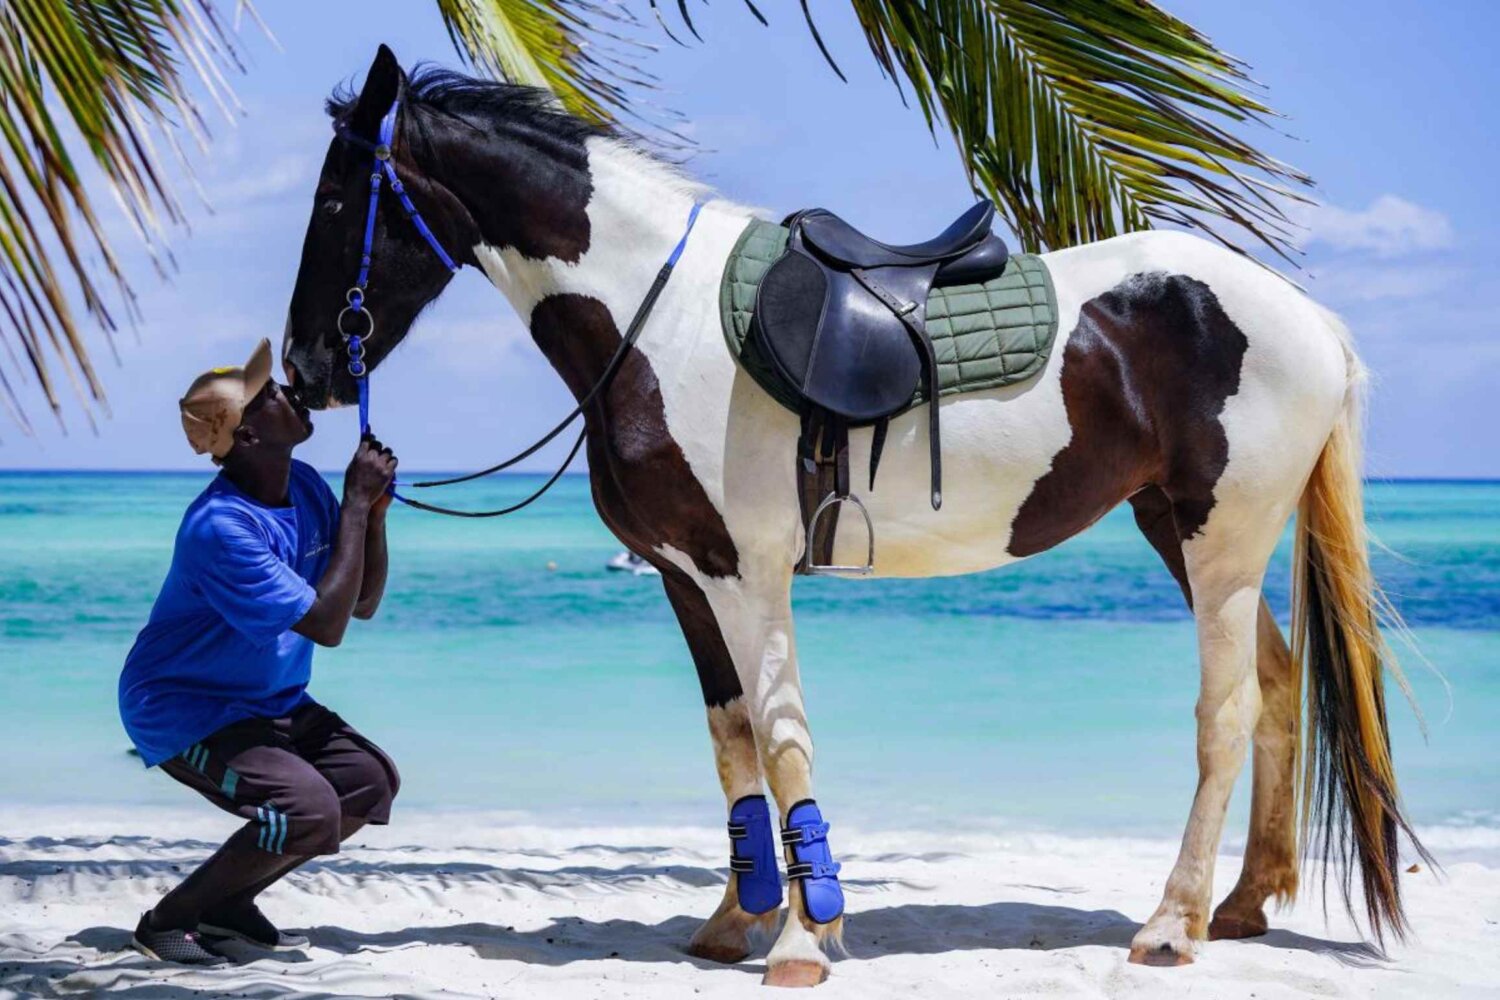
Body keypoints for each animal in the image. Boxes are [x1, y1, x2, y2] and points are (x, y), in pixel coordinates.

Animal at [281, 46, 1425, 987]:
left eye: (338, 204)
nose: (303, 371)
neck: (659, 319)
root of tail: (1308, 317)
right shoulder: (685, 575)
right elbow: (732, 738)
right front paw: (730, 922)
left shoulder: (748, 574)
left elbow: (783, 736)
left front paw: (800, 938)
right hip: (1176, 533)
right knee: (1276, 689)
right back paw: (1241, 904)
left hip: (1217, 540)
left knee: (1226, 712)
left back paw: (1171, 924)